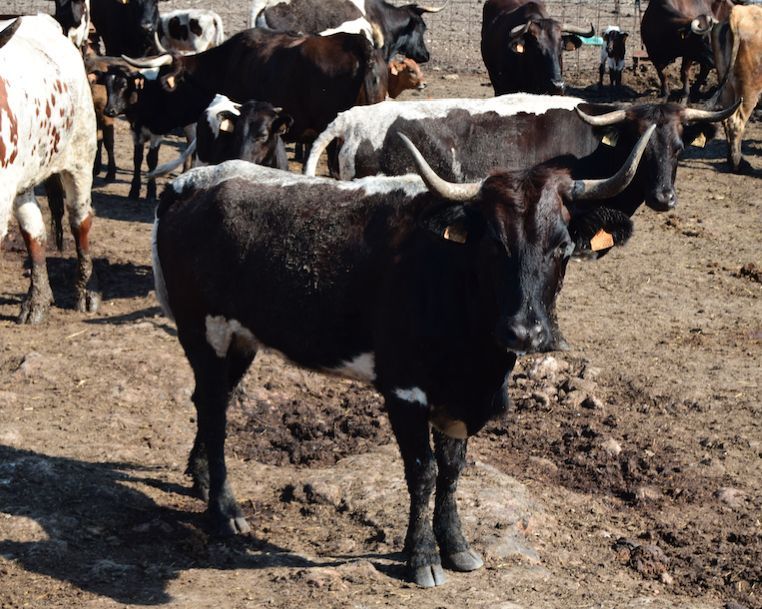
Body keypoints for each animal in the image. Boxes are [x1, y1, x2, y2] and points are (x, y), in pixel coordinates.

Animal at [0, 16, 99, 324]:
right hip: (24, 179)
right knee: (35, 232)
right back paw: (38, 300)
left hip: (81, 157)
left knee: (80, 220)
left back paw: (86, 292)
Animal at [151, 128, 652, 584]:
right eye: (494, 243)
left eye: (563, 247)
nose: (526, 332)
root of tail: (191, 182)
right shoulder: (404, 389)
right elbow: (423, 471)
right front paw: (422, 558)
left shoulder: (457, 400)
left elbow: (452, 470)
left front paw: (457, 546)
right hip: (202, 330)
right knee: (214, 411)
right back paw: (224, 509)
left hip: (240, 338)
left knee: (210, 401)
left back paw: (200, 480)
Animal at [708, 5, 756, 173]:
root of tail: (737, 12)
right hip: (749, 88)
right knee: (736, 121)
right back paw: (737, 163)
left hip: (727, 83)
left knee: (725, 115)